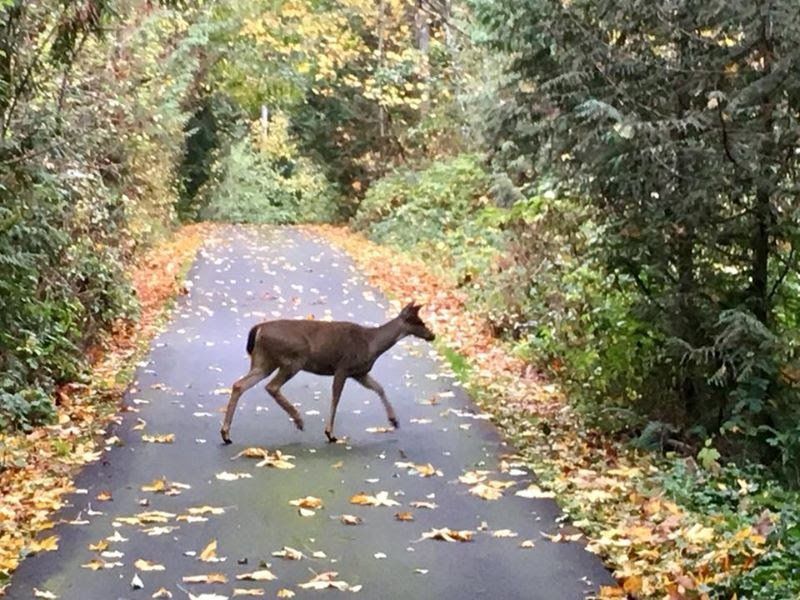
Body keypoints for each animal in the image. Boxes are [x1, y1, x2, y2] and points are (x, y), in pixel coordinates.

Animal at [220, 302, 435, 444]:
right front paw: (330, 433)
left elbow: (379, 388)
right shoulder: (343, 367)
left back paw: (226, 434)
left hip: (263, 362)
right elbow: (336, 397)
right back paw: (299, 420)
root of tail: (258, 329)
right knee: (271, 386)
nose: (432, 335)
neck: (371, 344)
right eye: (418, 321)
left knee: (239, 384)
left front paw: (394, 420)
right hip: (293, 358)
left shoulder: (359, 373)